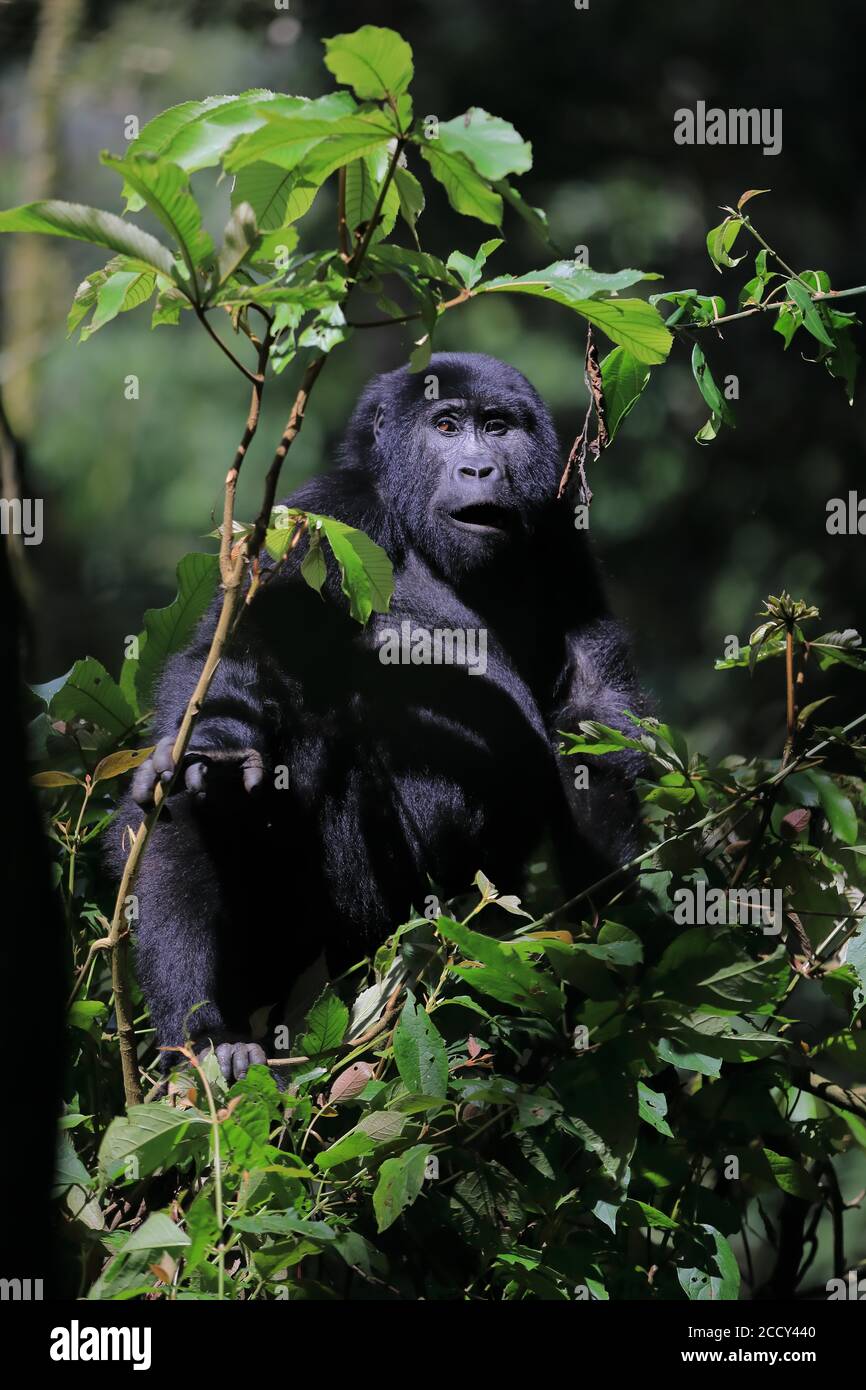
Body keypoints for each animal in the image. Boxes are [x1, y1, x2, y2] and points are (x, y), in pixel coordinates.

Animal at [113, 353, 644, 1078]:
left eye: (497, 427)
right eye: (446, 425)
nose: (479, 469)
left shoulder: (561, 538)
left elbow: (588, 717)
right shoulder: (327, 517)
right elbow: (244, 652)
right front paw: (216, 745)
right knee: (184, 805)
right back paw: (208, 1038)